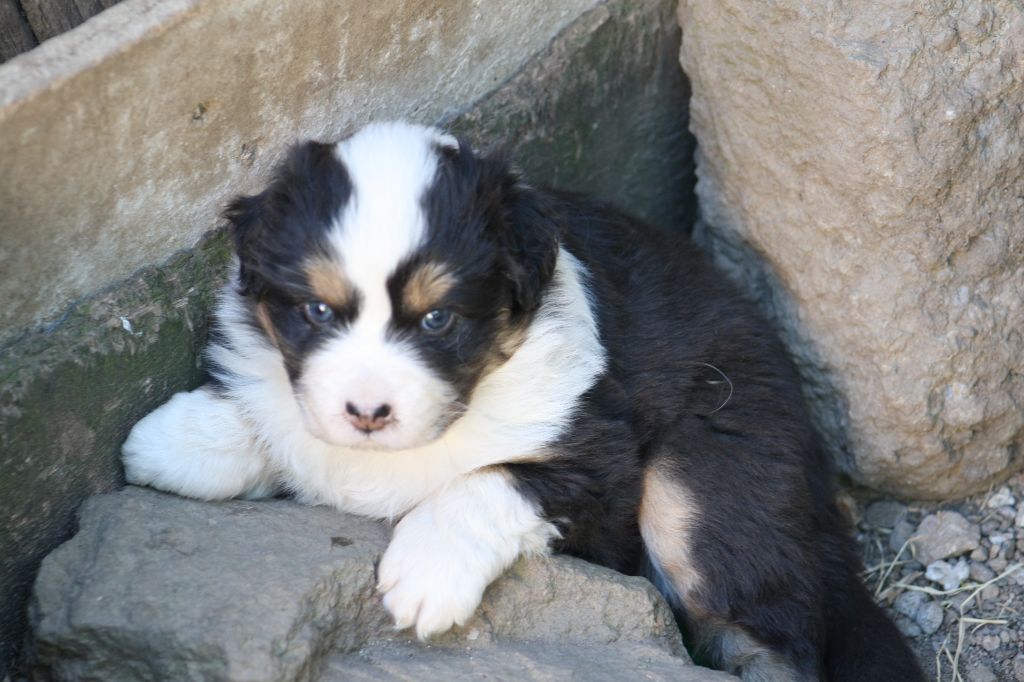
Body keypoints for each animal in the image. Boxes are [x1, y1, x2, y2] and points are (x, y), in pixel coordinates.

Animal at [122, 121, 924, 681]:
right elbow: (277, 414)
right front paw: (174, 442)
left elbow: (486, 483)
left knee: (776, 635)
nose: (367, 413)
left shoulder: (598, 461)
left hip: (707, 467)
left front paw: (426, 574)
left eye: (438, 320)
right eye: (317, 311)